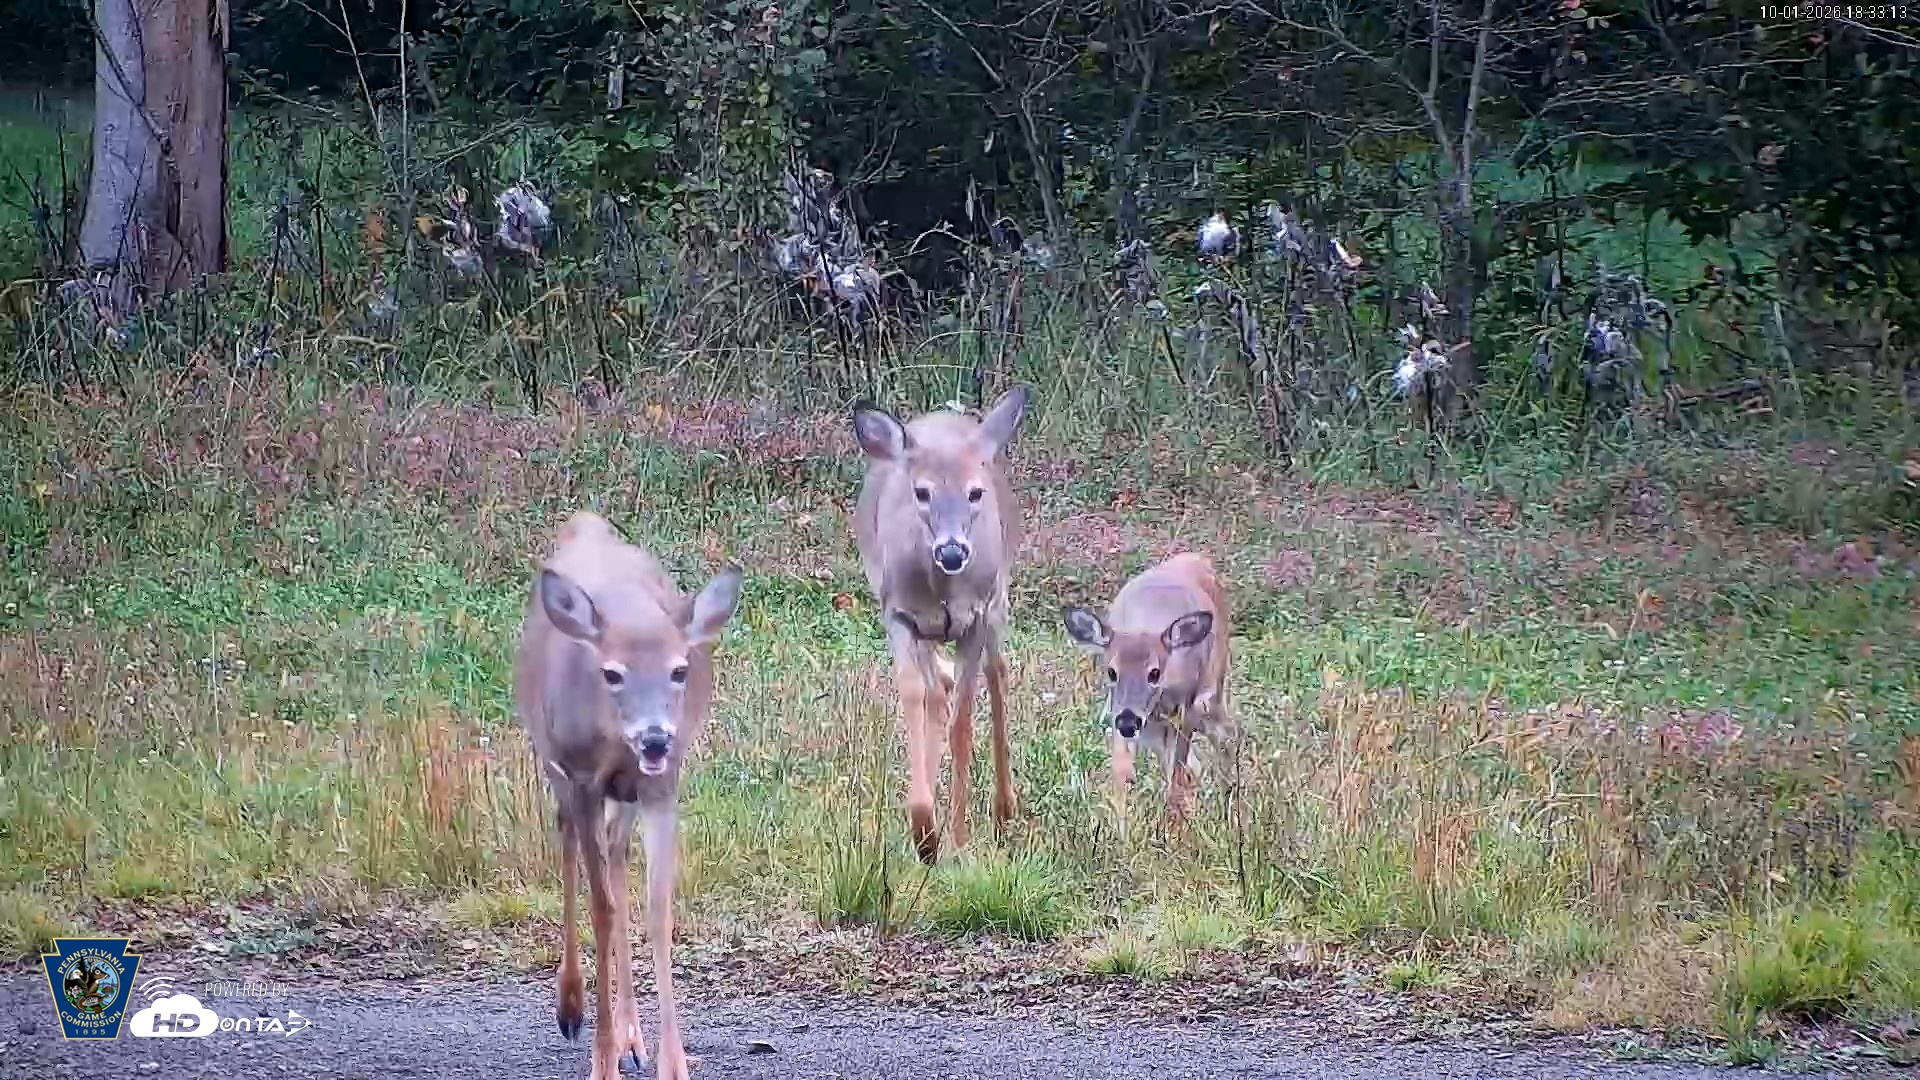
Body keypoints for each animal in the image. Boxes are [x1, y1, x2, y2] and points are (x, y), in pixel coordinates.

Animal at [513, 511, 744, 1080]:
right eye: (612, 673)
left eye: (679, 669)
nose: (656, 737)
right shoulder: (580, 776)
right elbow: (602, 908)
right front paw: (601, 1061)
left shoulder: (662, 785)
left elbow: (657, 907)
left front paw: (672, 1063)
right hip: (551, 757)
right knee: (567, 836)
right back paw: (572, 1007)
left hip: (627, 795)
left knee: (616, 854)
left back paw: (632, 1038)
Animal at [850, 386, 1030, 864]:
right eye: (922, 491)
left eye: (975, 492)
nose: (952, 551)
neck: (942, 589)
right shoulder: (898, 614)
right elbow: (915, 696)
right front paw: (924, 831)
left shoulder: (976, 616)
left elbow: (963, 722)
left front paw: (959, 838)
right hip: (929, 631)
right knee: (938, 691)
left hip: (998, 600)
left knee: (997, 673)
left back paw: (1004, 812)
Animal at [1061, 552, 1233, 824]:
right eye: (1111, 671)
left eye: (1154, 673)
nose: (1128, 723)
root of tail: (1199, 559)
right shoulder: (1118, 711)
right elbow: (1122, 774)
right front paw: (1120, 826)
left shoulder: (1185, 711)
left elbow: (1177, 775)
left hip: (1212, 689)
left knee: (1226, 735)